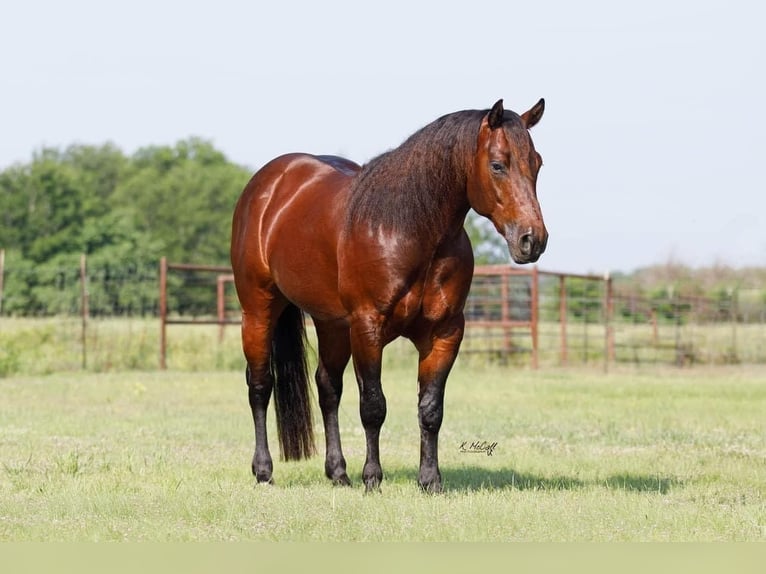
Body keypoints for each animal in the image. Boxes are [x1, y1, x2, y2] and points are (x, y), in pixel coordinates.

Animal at [231, 99, 548, 496]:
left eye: (537, 163)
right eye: (497, 164)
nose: (532, 240)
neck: (409, 229)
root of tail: (269, 184)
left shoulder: (445, 333)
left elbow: (430, 409)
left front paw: (430, 481)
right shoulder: (368, 327)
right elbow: (373, 406)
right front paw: (373, 479)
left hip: (332, 324)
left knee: (328, 388)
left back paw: (338, 473)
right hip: (258, 310)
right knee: (260, 386)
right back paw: (264, 471)